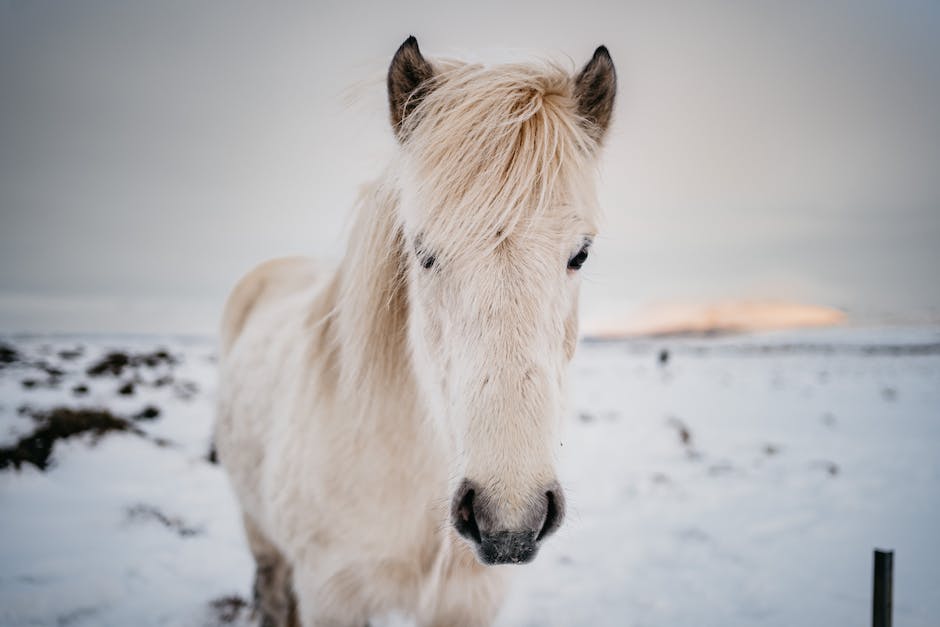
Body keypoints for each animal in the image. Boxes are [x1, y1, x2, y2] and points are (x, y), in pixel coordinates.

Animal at [213, 35, 616, 627]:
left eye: (581, 254)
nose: (508, 519)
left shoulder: (467, 605)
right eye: (423, 253)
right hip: (258, 531)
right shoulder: (330, 596)